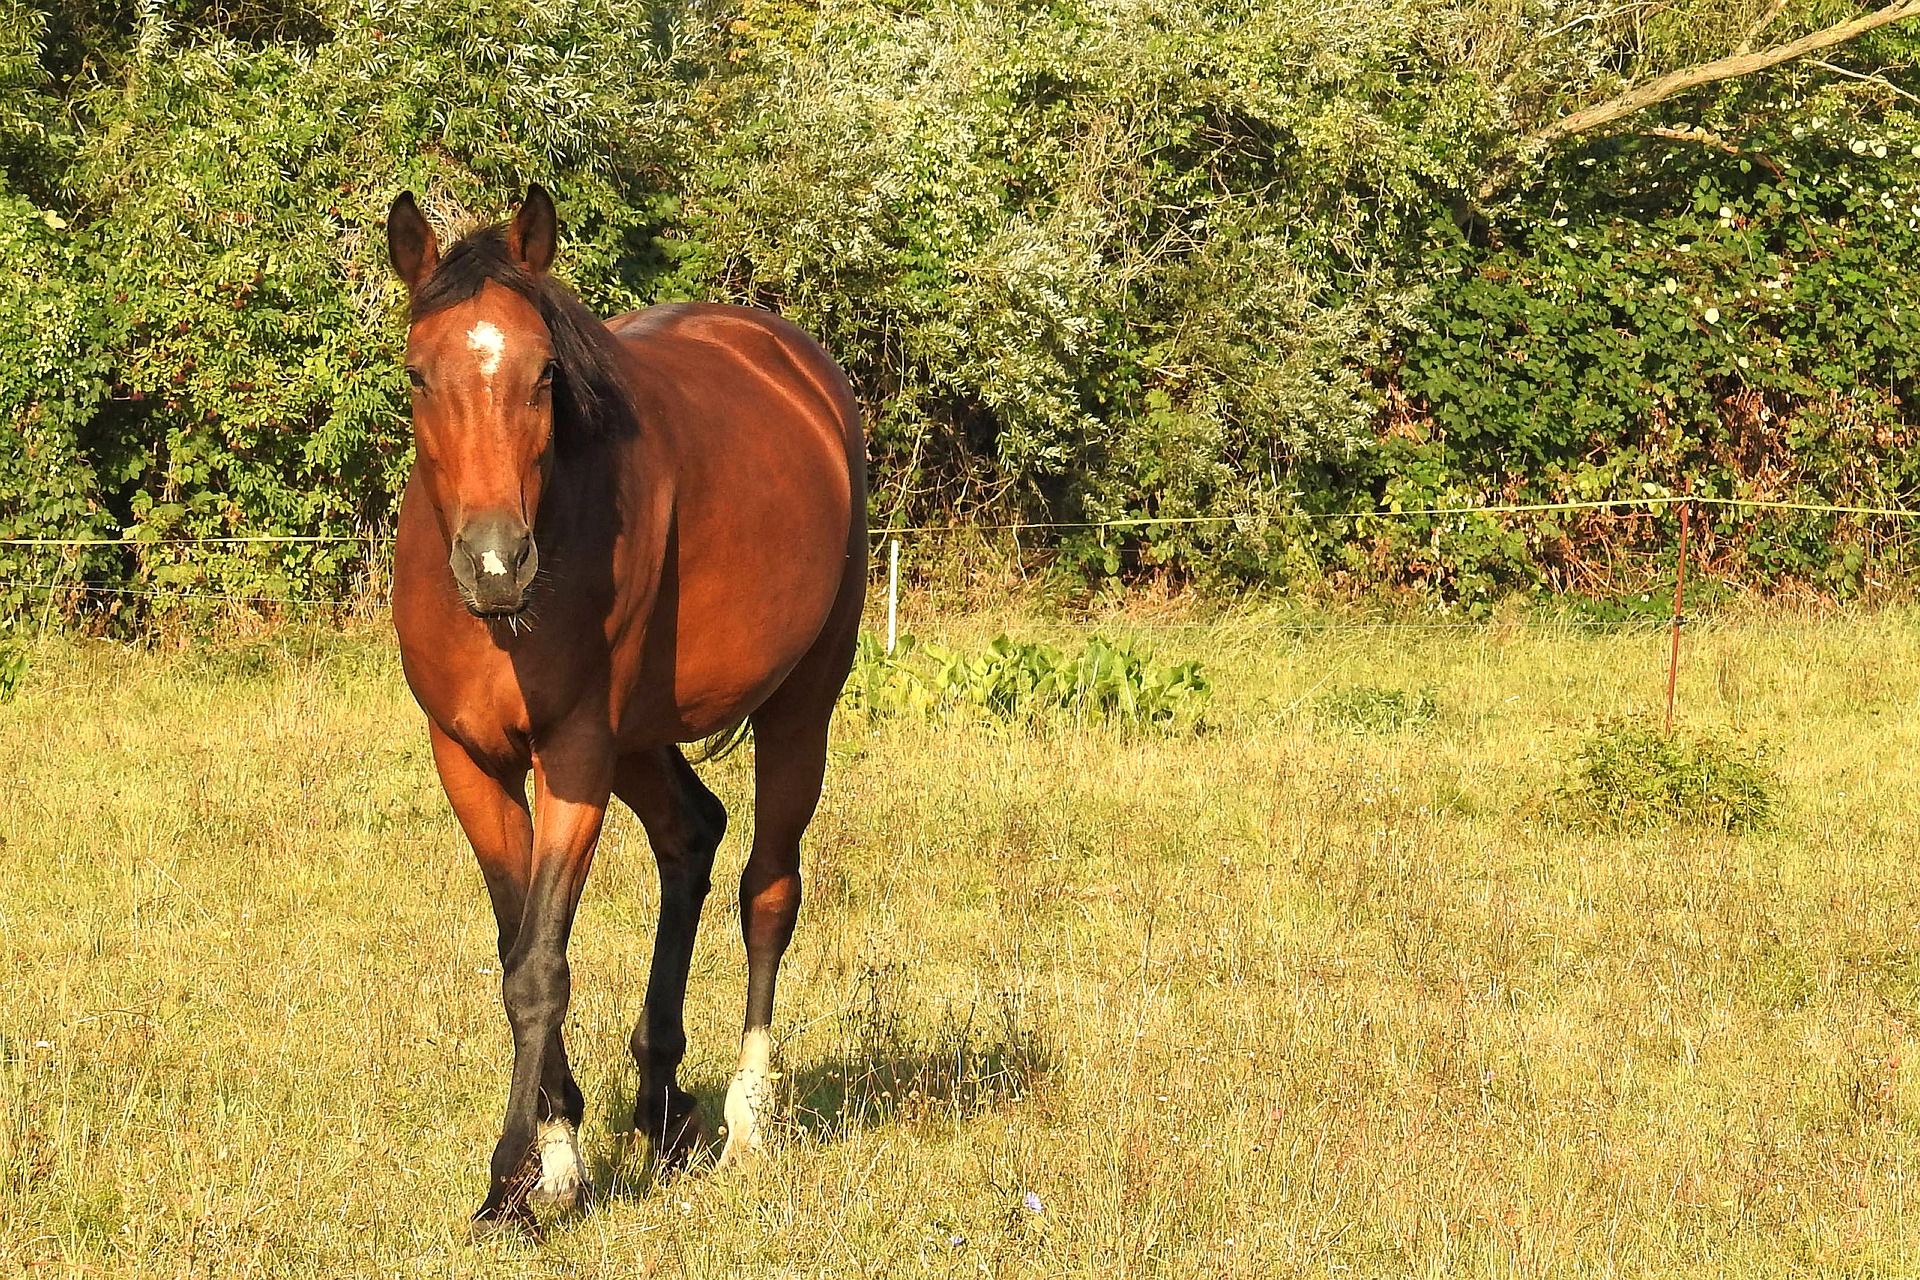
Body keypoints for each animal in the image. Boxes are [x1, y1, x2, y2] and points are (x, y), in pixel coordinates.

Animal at [385, 185, 867, 1235]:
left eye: (545, 374)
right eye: (417, 375)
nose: (496, 564)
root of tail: (796, 366)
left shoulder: (573, 756)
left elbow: (539, 967)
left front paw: (511, 1182)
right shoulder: (468, 758)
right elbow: (515, 940)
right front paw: (560, 1154)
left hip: (800, 705)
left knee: (768, 891)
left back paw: (744, 1119)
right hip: (642, 737)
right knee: (692, 833)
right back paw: (660, 1101)